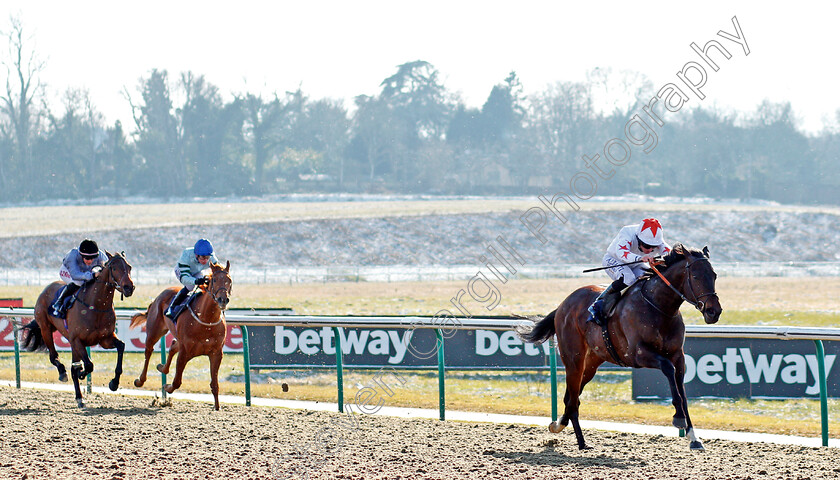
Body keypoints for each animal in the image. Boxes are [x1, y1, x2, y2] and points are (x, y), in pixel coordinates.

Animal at [20, 253, 135, 406]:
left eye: (129, 267)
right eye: (115, 268)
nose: (129, 287)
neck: (96, 305)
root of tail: (46, 289)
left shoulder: (105, 339)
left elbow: (121, 347)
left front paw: (114, 383)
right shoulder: (77, 340)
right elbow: (89, 365)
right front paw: (81, 373)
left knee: (73, 365)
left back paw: (79, 396)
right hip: (46, 329)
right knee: (54, 357)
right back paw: (63, 374)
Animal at [131, 260, 231, 410]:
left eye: (229, 280)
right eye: (214, 280)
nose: (222, 300)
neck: (206, 320)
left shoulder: (216, 353)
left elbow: (215, 384)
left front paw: (217, 407)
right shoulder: (185, 352)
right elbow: (177, 381)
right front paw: (167, 386)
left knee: (173, 346)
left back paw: (162, 367)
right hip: (154, 331)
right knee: (148, 351)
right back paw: (140, 380)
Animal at [520, 246, 720, 452]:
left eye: (714, 275)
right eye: (695, 276)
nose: (714, 312)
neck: (659, 307)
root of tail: (562, 305)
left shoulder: (678, 356)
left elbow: (682, 392)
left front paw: (694, 437)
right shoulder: (638, 354)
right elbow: (667, 369)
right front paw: (679, 418)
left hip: (592, 363)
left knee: (572, 397)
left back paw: (558, 424)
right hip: (574, 359)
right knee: (573, 398)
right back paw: (582, 442)